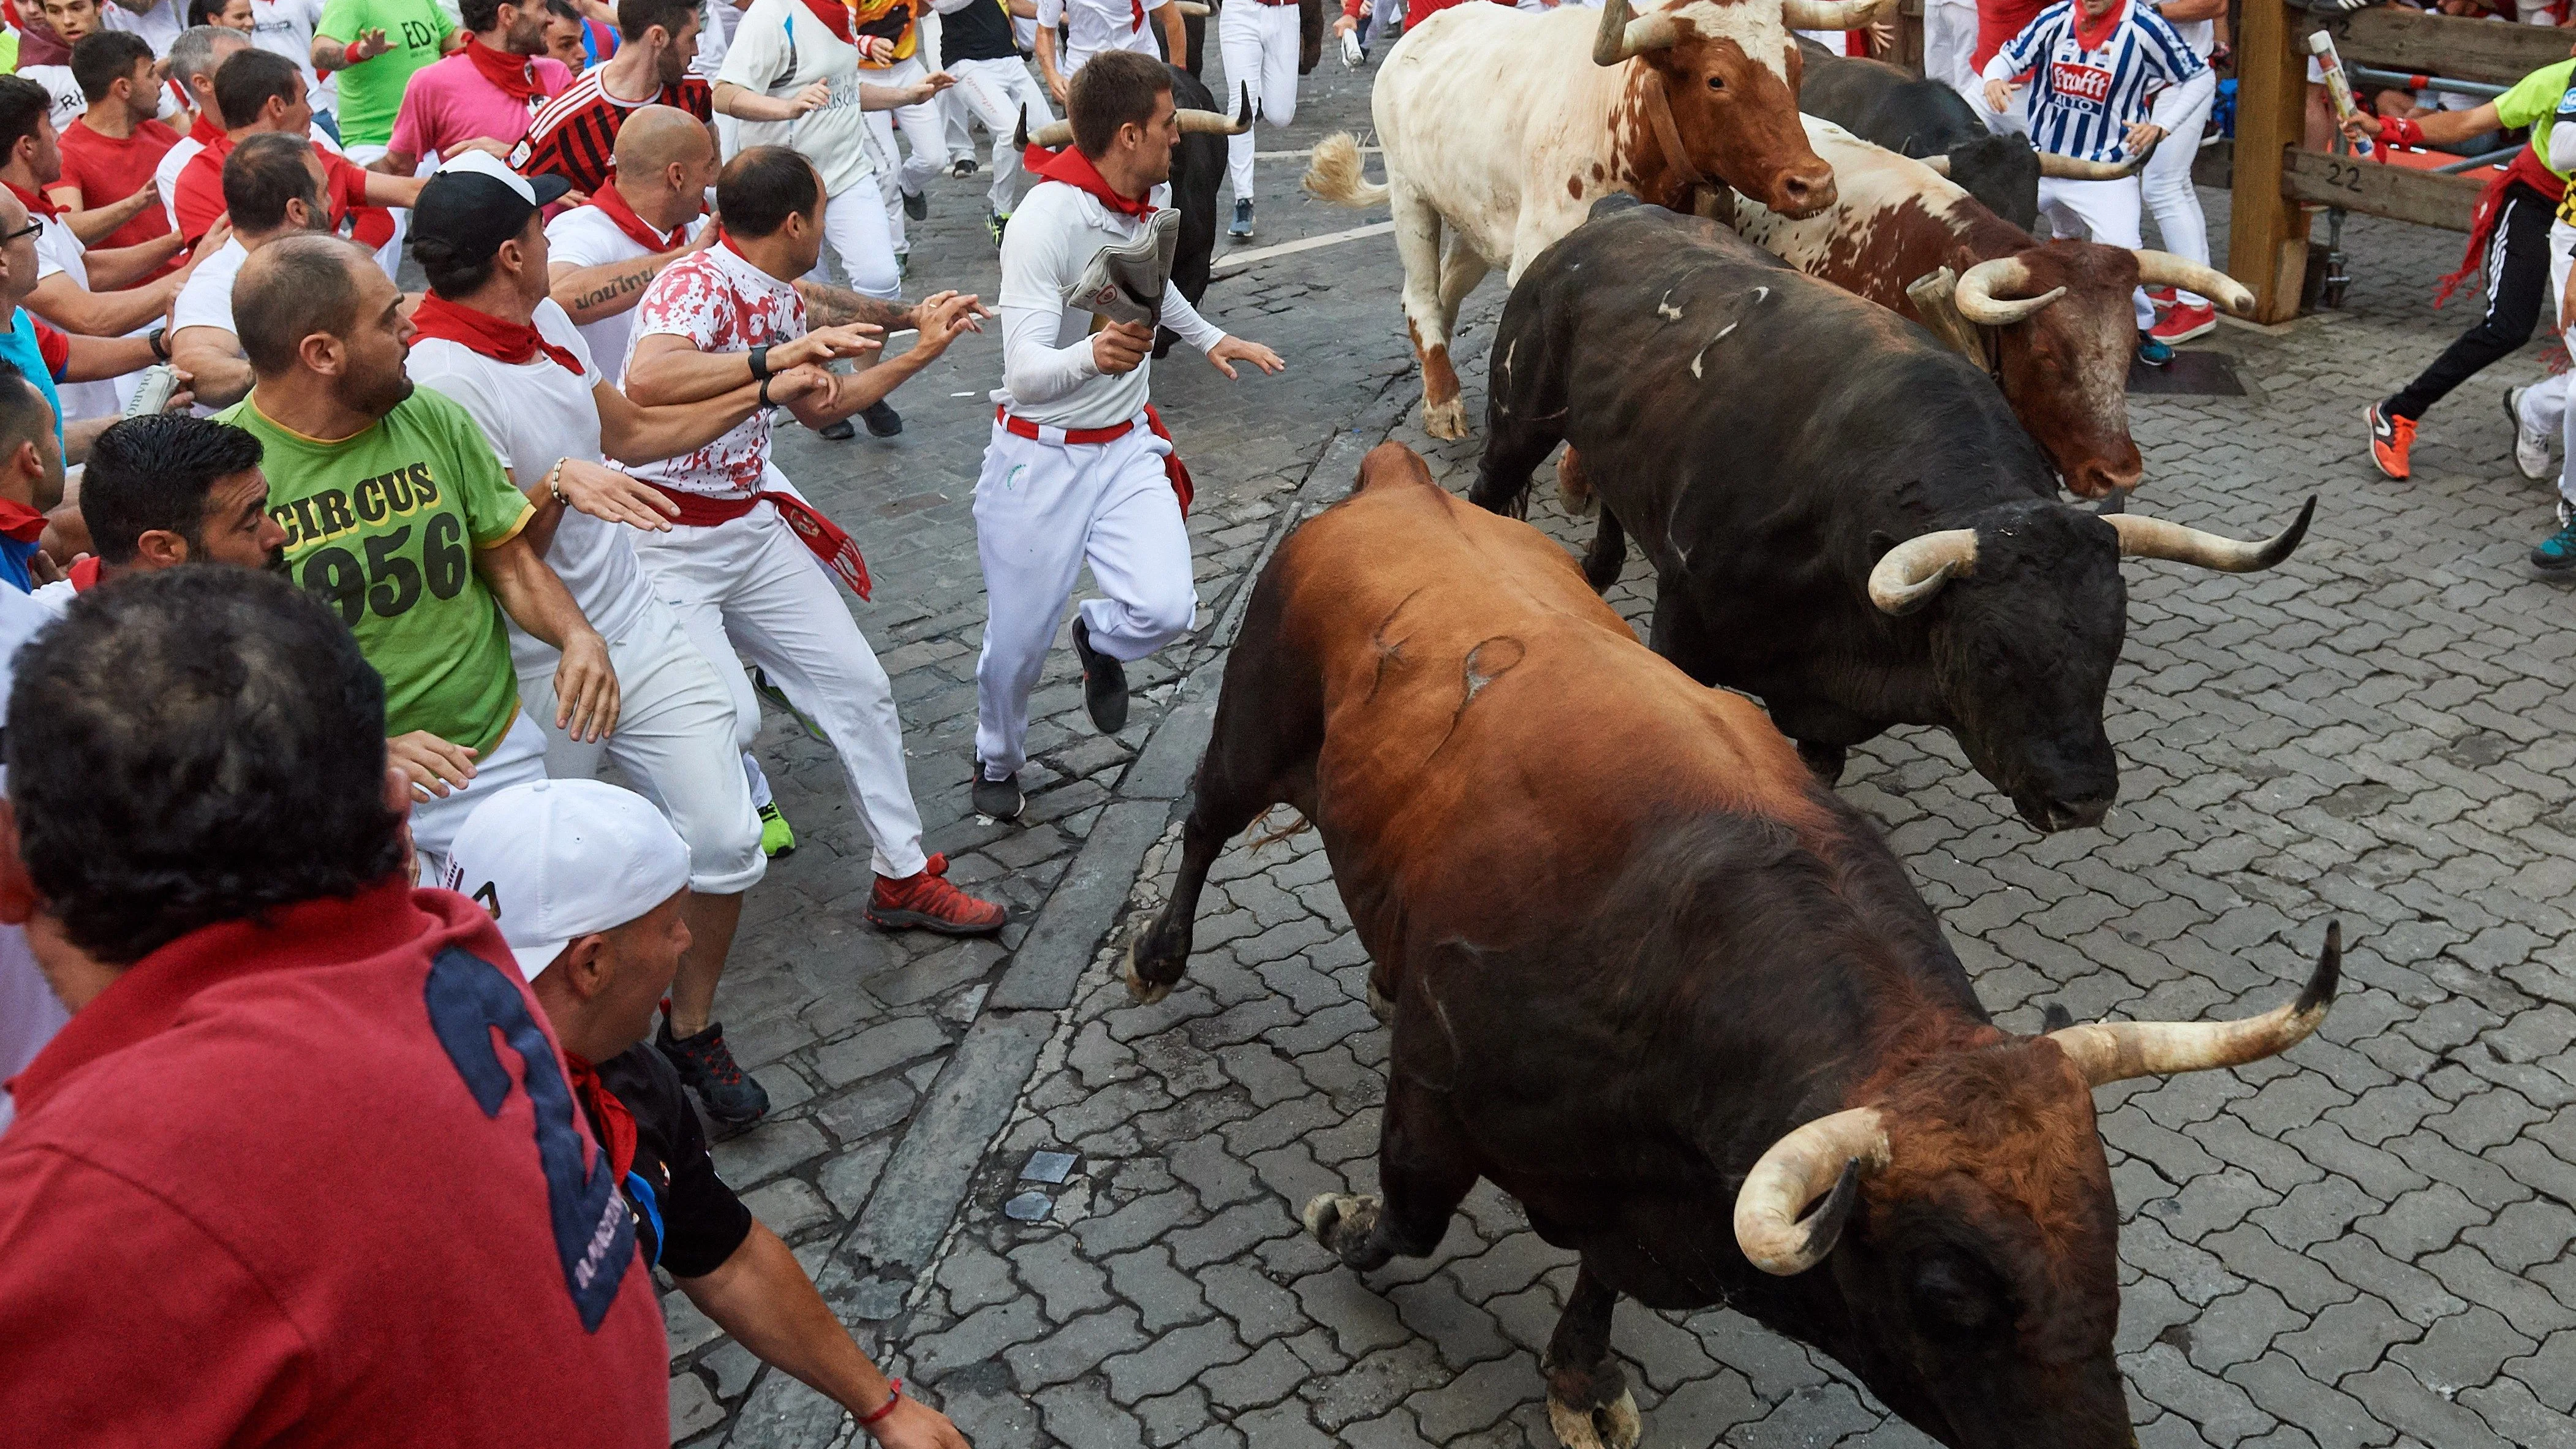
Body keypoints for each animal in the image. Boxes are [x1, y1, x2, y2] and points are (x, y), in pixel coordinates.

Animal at [1123, 438, 2339, 1443]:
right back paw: (1158, 956)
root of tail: (1403, 484)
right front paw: (1345, 1225)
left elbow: (1598, 1282)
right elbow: (1410, 1220)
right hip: (1251, 723)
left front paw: (1581, 1381)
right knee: (1203, 822)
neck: (1671, 977)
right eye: (1948, 1297)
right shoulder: (1433, 1091)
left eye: (2108, 1247)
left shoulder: (1644, 1212)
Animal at [1473, 200, 2318, 835]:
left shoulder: (1821, 723)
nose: (2082, 799)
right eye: (1993, 653)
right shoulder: (1682, 640)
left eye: (2111, 643)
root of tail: (1617, 213)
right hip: (1516, 421)